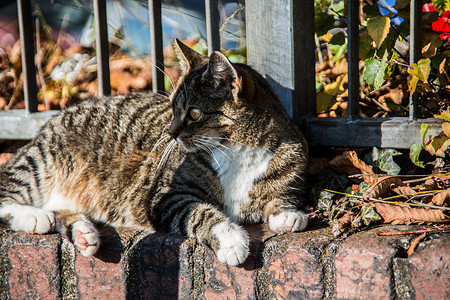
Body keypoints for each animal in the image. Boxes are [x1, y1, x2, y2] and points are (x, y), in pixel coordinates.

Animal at [0, 39, 310, 264]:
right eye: (172, 108)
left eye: (194, 113)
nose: (170, 133)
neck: (237, 151)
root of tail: (47, 123)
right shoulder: (167, 196)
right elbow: (202, 214)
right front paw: (231, 240)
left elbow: (280, 195)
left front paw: (287, 213)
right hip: (42, 161)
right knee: (7, 190)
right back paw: (34, 217)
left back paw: (82, 233)